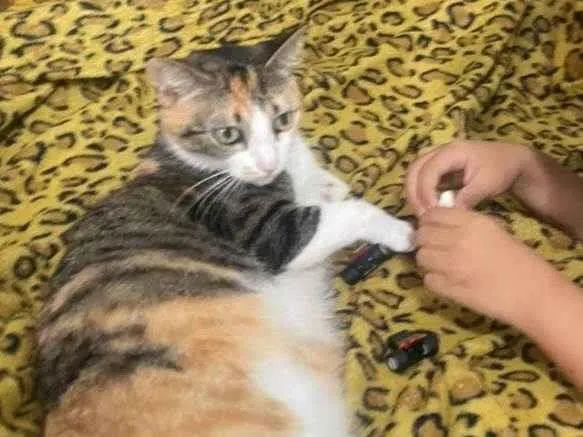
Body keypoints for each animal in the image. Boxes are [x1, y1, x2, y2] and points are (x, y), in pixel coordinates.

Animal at [37, 27, 414, 437]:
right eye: (229, 134)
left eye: (282, 119)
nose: (267, 163)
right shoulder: (268, 231)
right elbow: (348, 212)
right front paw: (401, 230)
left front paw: (327, 182)